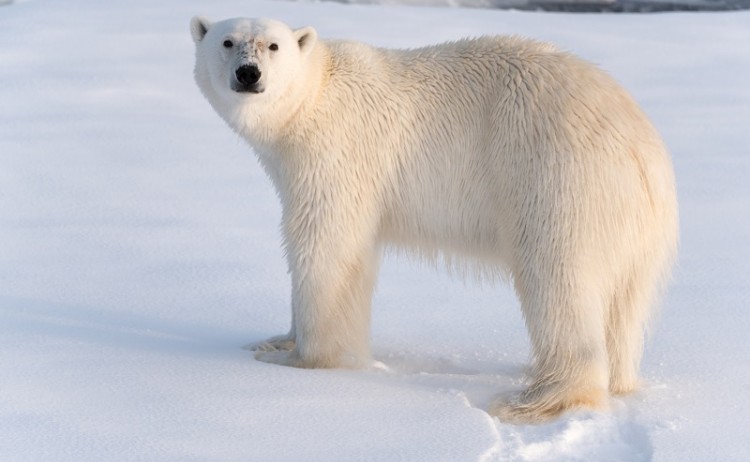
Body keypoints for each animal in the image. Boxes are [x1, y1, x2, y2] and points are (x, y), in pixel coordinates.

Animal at [190, 16, 678, 423]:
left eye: (272, 45)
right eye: (227, 41)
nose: (248, 73)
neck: (314, 96)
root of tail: (644, 150)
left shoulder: (337, 152)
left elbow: (325, 245)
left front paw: (299, 360)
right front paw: (276, 339)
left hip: (557, 179)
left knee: (558, 278)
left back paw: (534, 399)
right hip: (634, 230)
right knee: (623, 306)